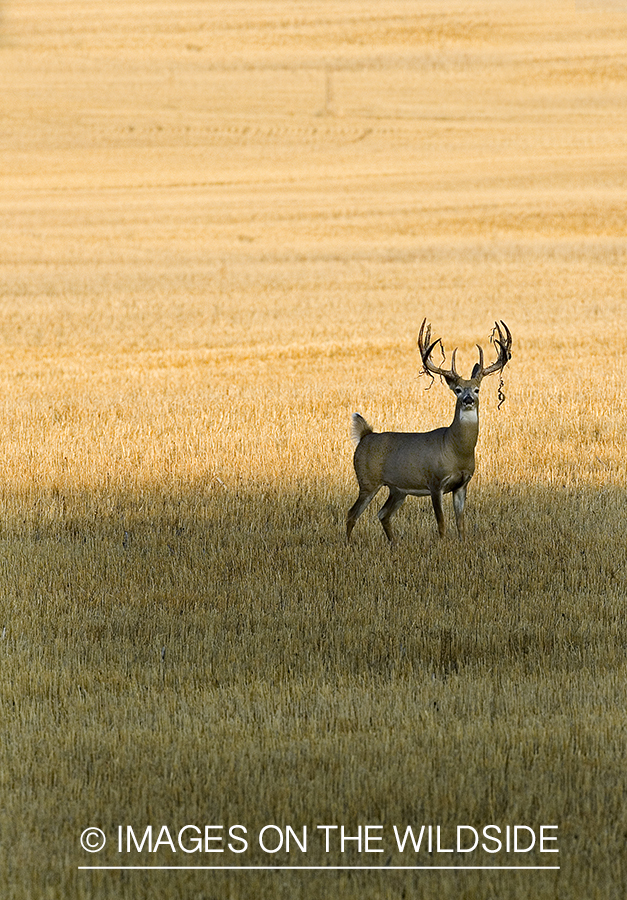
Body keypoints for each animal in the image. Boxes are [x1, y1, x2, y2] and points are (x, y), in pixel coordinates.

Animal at [346, 316, 512, 540]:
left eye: (477, 389)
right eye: (457, 390)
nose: (468, 399)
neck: (455, 449)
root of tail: (365, 435)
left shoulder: (462, 484)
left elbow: (461, 524)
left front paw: (462, 543)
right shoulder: (435, 482)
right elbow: (441, 523)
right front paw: (442, 544)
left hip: (398, 489)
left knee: (383, 514)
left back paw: (393, 543)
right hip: (367, 480)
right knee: (352, 514)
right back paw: (348, 543)